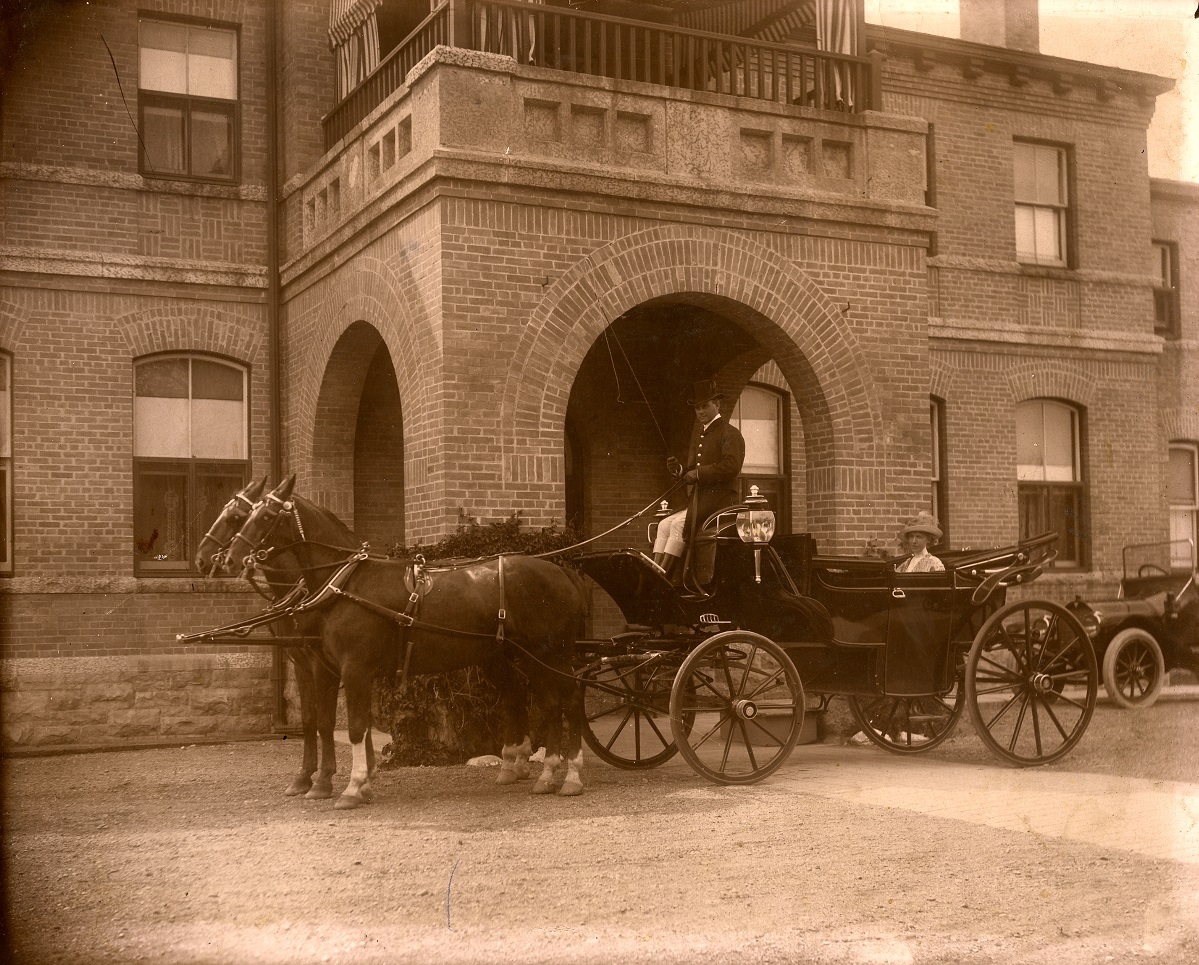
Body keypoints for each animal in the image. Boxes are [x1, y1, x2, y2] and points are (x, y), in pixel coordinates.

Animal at [194, 477, 350, 800]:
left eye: (236, 517)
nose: (203, 559)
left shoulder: (322, 663)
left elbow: (327, 720)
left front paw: (325, 779)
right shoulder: (301, 661)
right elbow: (309, 718)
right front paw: (304, 777)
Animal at [225, 474, 589, 805]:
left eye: (266, 516)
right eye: (246, 515)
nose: (228, 558)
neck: (347, 583)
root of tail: (563, 572)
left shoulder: (353, 668)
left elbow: (354, 727)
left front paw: (352, 787)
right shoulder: (335, 668)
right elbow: (341, 723)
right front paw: (351, 782)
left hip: (550, 653)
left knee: (569, 701)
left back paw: (570, 775)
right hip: (525, 656)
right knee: (548, 702)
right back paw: (545, 774)